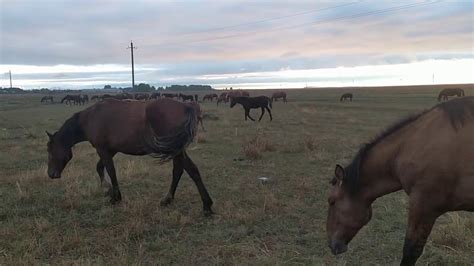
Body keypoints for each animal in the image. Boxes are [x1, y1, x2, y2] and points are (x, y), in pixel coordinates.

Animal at [44, 98, 215, 215]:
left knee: (188, 170)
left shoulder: (103, 150)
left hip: (175, 150)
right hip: (176, 150)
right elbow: (100, 167)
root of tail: (187, 106)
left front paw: (115, 197)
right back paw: (172, 200)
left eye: (50, 150)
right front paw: (107, 188)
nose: (51, 174)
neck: (89, 119)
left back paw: (205, 205)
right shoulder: (111, 150)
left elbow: (110, 171)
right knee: (182, 170)